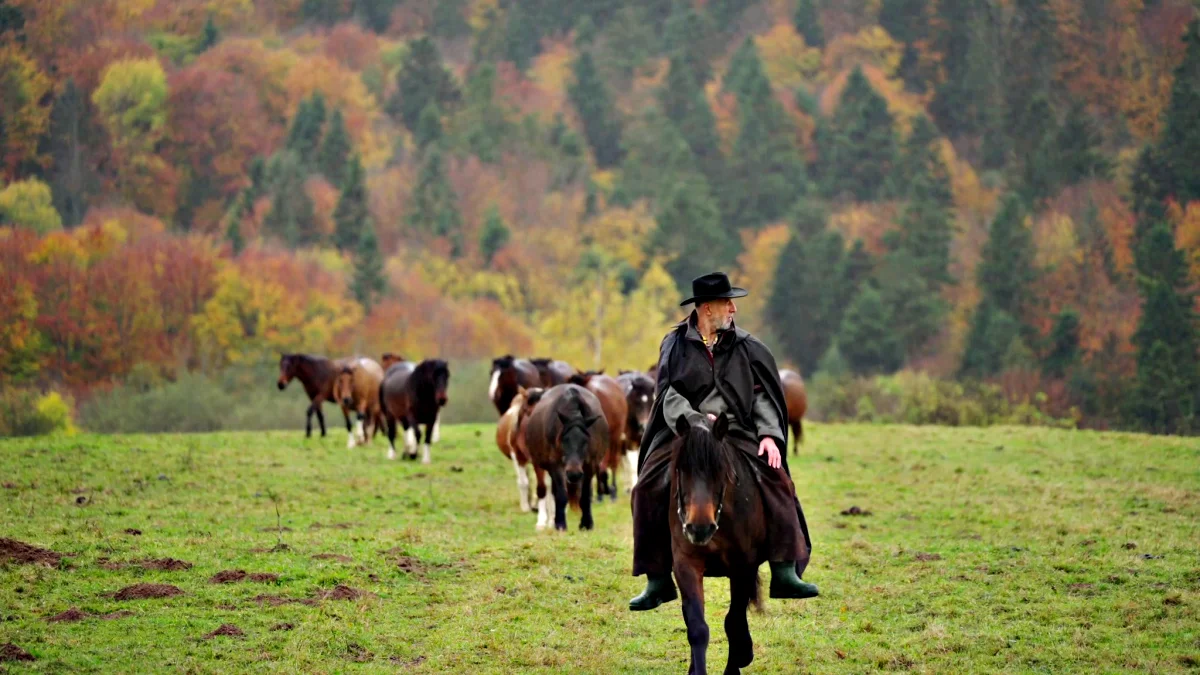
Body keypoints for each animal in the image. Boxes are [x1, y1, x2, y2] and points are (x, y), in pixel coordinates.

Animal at [523, 381, 609, 528]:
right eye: (564, 439)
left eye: (586, 440)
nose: (573, 473)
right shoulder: (555, 465)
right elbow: (561, 494)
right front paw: (560, 524)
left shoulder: (591, 464)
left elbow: (585, 495)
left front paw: (587, 523)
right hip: (538, 463)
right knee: (546, 489)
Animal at [667, 410, 768, 672]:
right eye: (682, 469)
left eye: (720, 470)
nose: (699, 528)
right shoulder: (686, 564)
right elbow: (697, 628)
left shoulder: (743, 567)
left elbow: (734, 622)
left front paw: (740, 660)